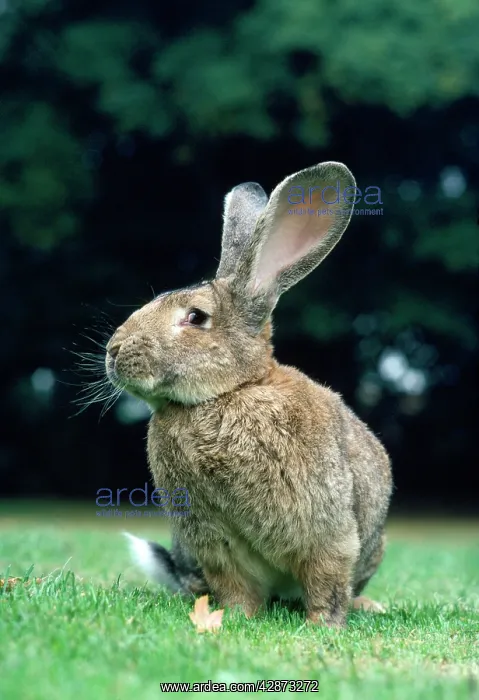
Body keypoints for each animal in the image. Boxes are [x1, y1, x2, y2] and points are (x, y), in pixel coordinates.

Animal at [107, 161, 393, 627]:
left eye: (196, 317)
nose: (112, 352)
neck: (227, 394)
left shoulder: (327, 529)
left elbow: (327, 579)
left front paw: (323, 626)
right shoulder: (213, 539)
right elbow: (235, 583)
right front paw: (234, 618)